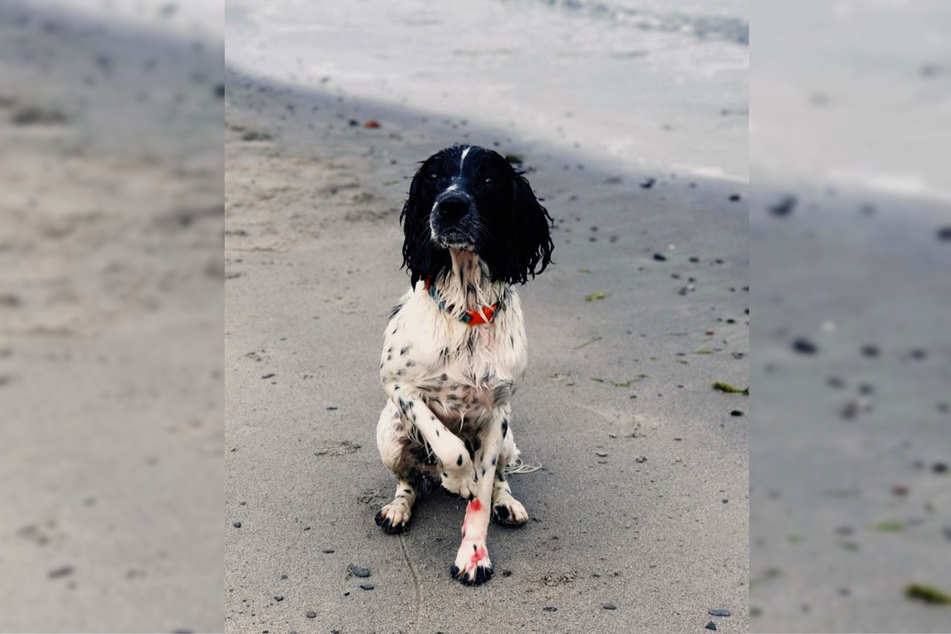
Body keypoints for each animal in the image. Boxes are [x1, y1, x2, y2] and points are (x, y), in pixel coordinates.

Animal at [372, 142, 552, 584]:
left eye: (488, 179)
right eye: (434, 177)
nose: (451, 206)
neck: (466, 309)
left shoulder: (496, 412)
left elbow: (482, 495)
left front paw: (473, 555)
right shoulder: (399, 387)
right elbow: (449, 447)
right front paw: (457, 479)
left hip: (508, 439)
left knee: (501, 477)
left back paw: (508, 503)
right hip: (389, 436)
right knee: (410, 481)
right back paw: (399, 508)